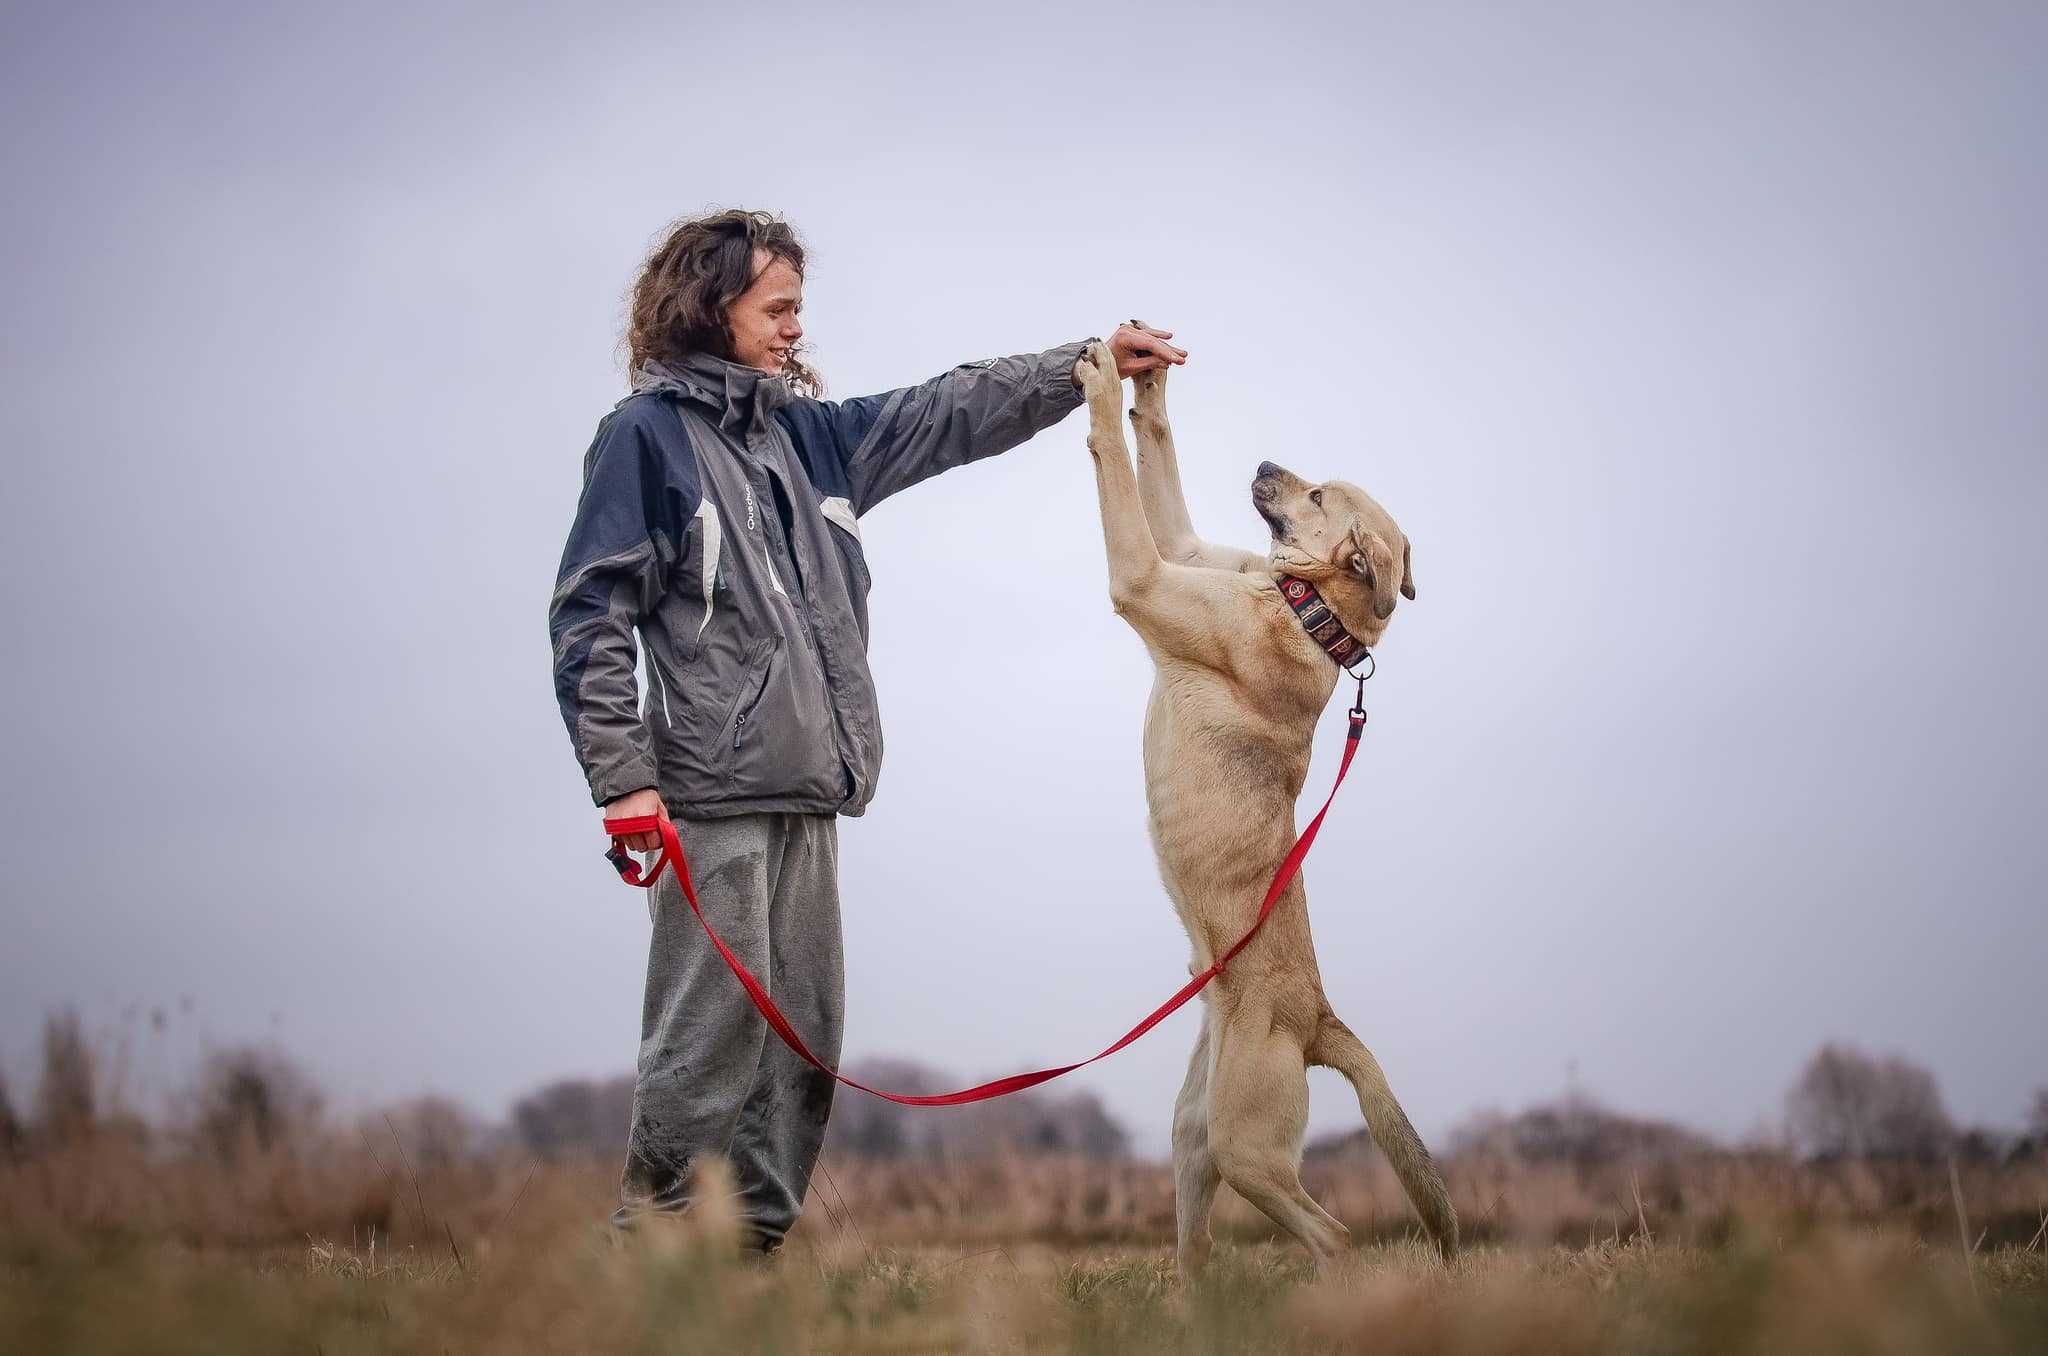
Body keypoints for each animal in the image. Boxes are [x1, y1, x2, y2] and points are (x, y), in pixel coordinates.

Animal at [1073, 337, 1458, 1278]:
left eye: (1318, 497)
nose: (1265, 465)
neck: (1311, 613)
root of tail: (1318, 1020)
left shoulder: (1143, 575)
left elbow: (1117, 478)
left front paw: (1100, 389)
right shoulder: (1184, 549)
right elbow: (1157, 465)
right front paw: (1147, 379)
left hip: (1248, 1144)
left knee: (1335, 1234)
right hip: (1195, 1131)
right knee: (1201, 1236)